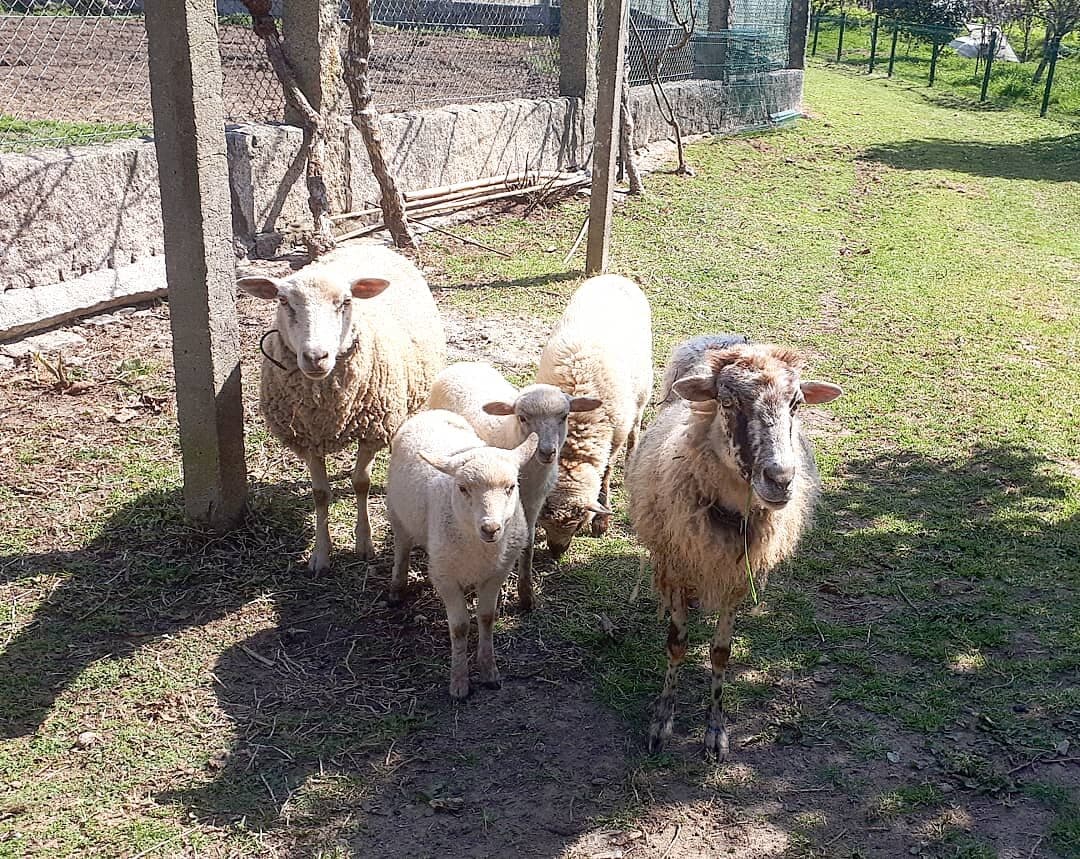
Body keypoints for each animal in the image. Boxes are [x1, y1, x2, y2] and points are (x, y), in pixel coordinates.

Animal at [237, 242, 445, 573]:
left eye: (345, 302)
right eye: (283, 301)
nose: (315, 357)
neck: (326, 407)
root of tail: (369, 243)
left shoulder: (373, 431)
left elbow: (361, 483)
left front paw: (364, 543)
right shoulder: (306, 439)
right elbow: (320, 494)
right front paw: (321, 554)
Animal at [385, 409, 538, 699]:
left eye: (511, 487)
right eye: (463, 488)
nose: (491, 528)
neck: (481, 549)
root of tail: (432, 411)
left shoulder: (497, 572)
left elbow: (487, 618)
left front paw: (489, 670)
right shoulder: (444, 576)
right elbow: (459, 627)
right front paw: (459, 681)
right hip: (397, 513)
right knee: (402, 546)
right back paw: (397, 588)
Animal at [427, 361, 601, 611]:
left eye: (564, 416)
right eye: (522, 418)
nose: (546, 452)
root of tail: (463, 364)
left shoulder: (533, 504)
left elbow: (527, 545)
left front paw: (526, 595)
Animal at [536, 274, 653, 559]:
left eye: (579, 524)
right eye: (544, 523)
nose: (556, 553)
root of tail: (615, 276)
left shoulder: (613, 441)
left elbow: (607, 474)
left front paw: (602, 522)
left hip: (641, 395)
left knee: (635, 431)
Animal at [626, 339, 842, 760]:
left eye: (796, 403)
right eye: (726, 402)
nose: (781, 480)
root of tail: (732, 339)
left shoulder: (736, 577)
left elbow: (721, 652)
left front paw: (716, 729)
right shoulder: (676, 565)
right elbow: (677, 644)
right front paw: (663, 719)